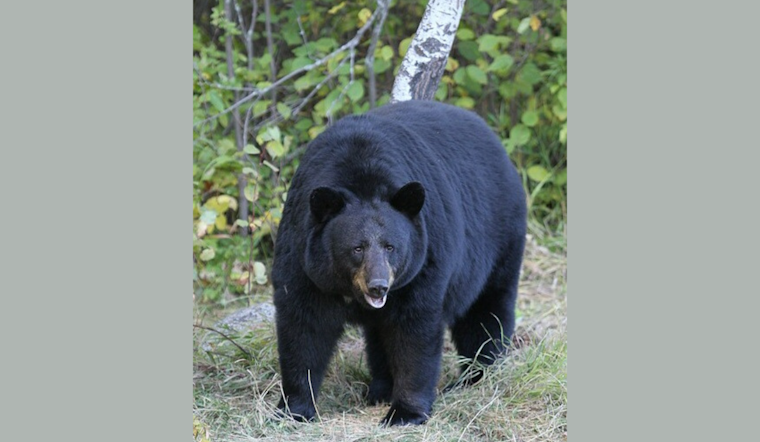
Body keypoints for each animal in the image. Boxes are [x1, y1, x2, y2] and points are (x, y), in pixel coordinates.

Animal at [271, 100, 527, 426]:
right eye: (357, 248)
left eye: (391, 247)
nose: (378, 286)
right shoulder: (303, 259)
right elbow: (303, 327)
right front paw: (295, 409)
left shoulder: (424, 262)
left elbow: (414, 331)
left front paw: (405, 412)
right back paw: (379, 390)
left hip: (498, 240)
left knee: (486, 312)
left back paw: (478, 376)